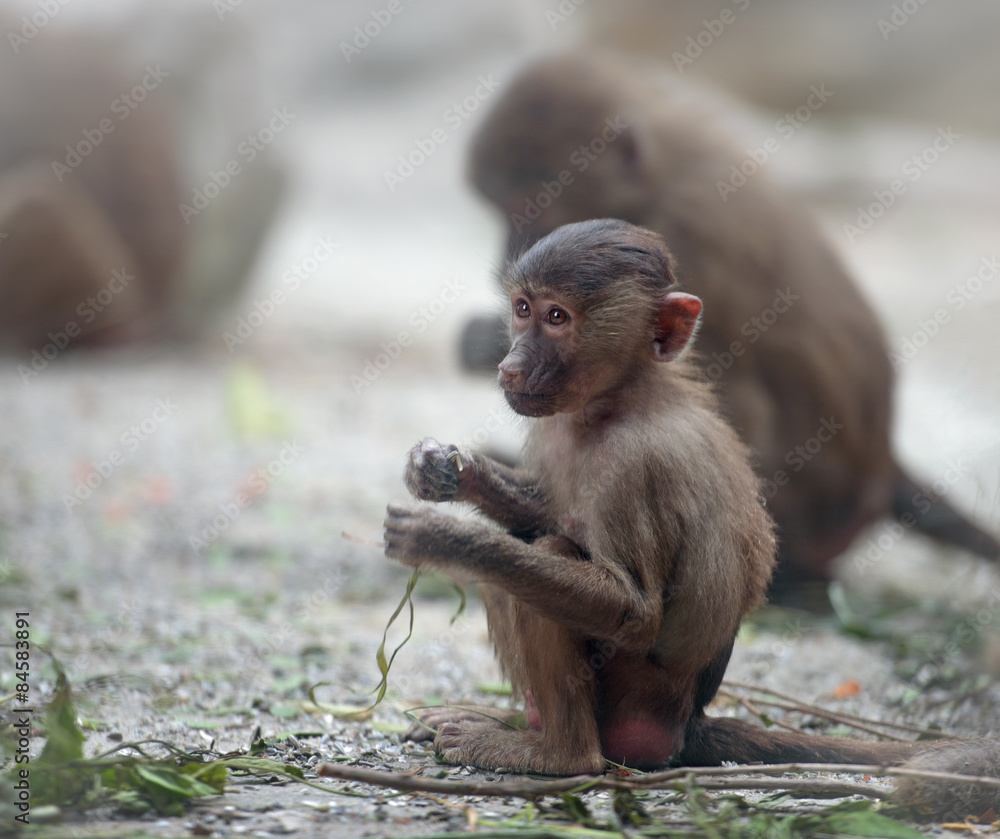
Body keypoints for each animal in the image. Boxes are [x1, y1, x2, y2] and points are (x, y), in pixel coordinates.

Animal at [385, 220, 1000, 820]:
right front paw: (442, 469)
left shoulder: (634, 466)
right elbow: (542, 507)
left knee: (540, 563)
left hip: (633, 705)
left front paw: (447, 540)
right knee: (524, 555)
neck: (616, 401)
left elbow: (631, 609)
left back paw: (556, 753)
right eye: (522, 308)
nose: (510, 366)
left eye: (557, 317)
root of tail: (686, 722)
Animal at [463, 52, 1000, 601]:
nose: (506, 257)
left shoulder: (682, 240)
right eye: (500, 210)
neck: (661, 173)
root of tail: (882, 466)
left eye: (527, 205)